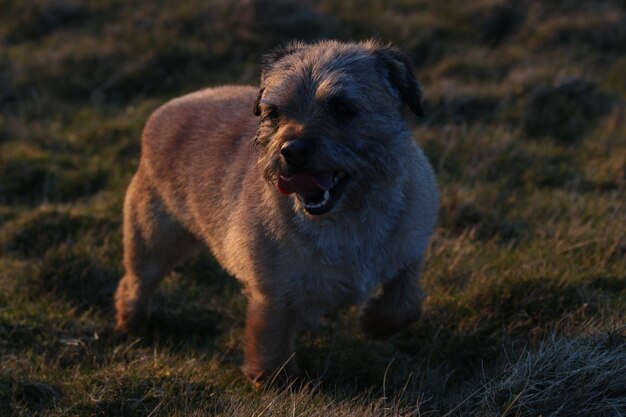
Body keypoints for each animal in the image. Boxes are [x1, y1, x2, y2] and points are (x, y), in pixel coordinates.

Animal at [116, 39, 438, 384]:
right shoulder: (272, 291)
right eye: (274, 113)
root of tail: (164, 111)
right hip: (152, 242)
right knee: (136, 282)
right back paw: (131, 320)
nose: (292, 151)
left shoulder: (410, 250)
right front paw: (274, 380)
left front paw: (374, 325)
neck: (349, 218)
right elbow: (271, 336)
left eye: (342, 108)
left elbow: (405, 304)